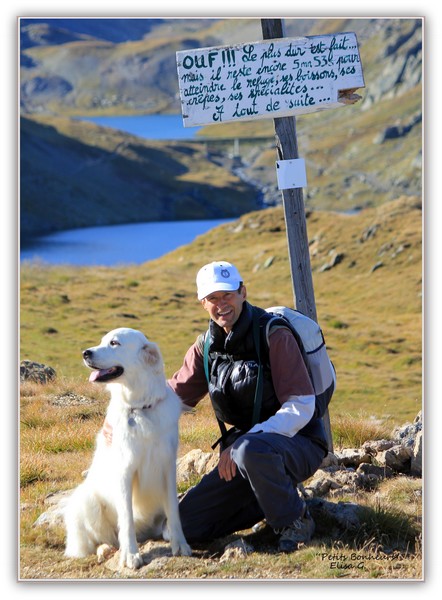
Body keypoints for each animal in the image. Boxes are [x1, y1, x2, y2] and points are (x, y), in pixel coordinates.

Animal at [63, 327, 191, 569]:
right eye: (102, 341)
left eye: (114, 343)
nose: (86, 353)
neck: (140, 408)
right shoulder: (124, 472)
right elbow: (127, 518)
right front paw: (131, 555)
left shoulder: (168, 469)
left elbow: (175, 512)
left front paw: (181, 545)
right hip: (87, 501)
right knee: (98, 540)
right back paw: (107, 549)